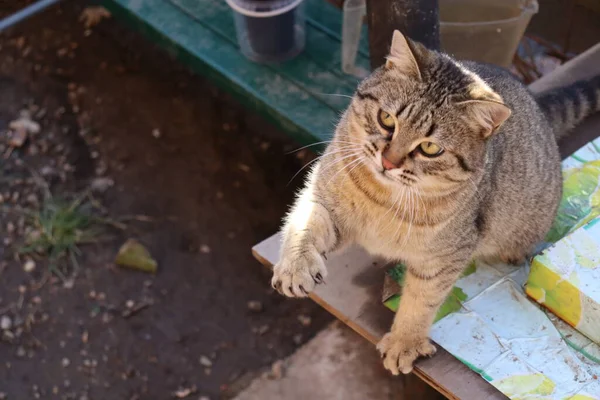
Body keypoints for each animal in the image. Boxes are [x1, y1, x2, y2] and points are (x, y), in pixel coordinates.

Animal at [270, 29, 600, 374]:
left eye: (430, 148)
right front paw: (295, 266)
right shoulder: (323, 196)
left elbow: (420, 302)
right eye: (386, 119)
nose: (388, 162)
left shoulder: (444, 257)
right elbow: (304, 224)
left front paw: (405, 342)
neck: (383, 198)